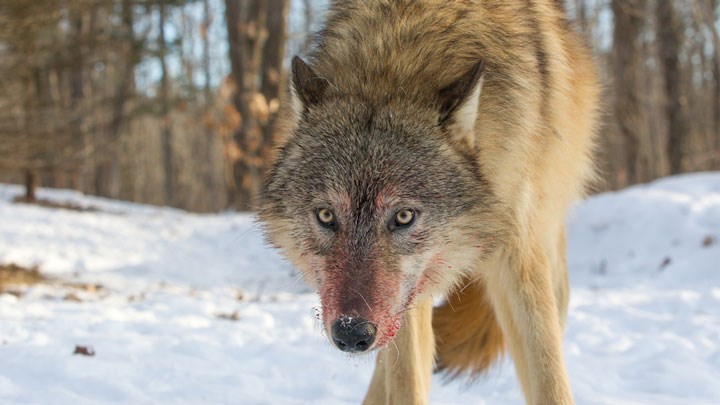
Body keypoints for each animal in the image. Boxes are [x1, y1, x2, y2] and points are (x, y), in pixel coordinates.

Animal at [262, 1, 600, 402]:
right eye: (326, 215)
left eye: (404, 216)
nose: (351, 333)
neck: (395, 58)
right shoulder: (405, 299)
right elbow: (406, 380)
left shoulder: (516, 257)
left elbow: (549, 379)